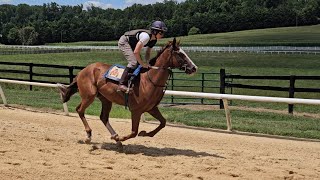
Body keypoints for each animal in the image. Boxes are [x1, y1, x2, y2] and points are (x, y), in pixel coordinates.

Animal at [57, 38, 198, 145]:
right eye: (180, 54)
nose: (194, 68)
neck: (149, 80)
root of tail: (84, 70)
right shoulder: (136, 110)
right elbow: (134, 132)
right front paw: (126, 137)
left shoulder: (151, 108)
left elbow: (163, 123)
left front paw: (146, 133)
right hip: (89, 95)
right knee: (80, 110)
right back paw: (89, 135)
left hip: (106, 99)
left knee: (103, 117)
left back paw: (115, 138)